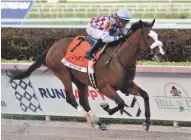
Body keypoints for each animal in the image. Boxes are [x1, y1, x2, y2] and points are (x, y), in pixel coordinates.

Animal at [8, 18, 164, 131]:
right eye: (148, 36)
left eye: (157, 35)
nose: (161, 53)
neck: (120, 59)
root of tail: (52, 47)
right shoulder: (104, 87)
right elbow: (120, 103)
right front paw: (106, 108)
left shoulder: (126, 85)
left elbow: (145, 95)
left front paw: (147, 123)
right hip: (63, 73)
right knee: (71, 98)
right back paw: (90, 119)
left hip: (80, 80)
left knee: (83, 101)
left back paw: (98, 122)